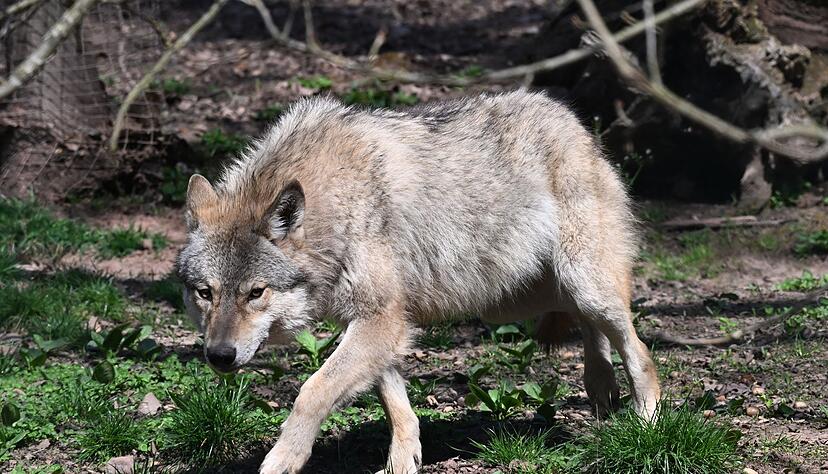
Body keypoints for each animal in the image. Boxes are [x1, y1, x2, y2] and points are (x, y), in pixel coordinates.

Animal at [175, 90, 661, 474]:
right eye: (205, 293)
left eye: (256, 293)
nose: (219, 356)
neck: (336, 206)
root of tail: (574, 121)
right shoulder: (382, 324)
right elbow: (397, 406)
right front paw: (403, 461)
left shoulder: (381, 320)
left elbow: (313, 391)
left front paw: (282, 459)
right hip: (520, 298)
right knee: (591, 328)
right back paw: (601, 387)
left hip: (581, 285)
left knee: (638, 350)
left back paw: (647, 422)